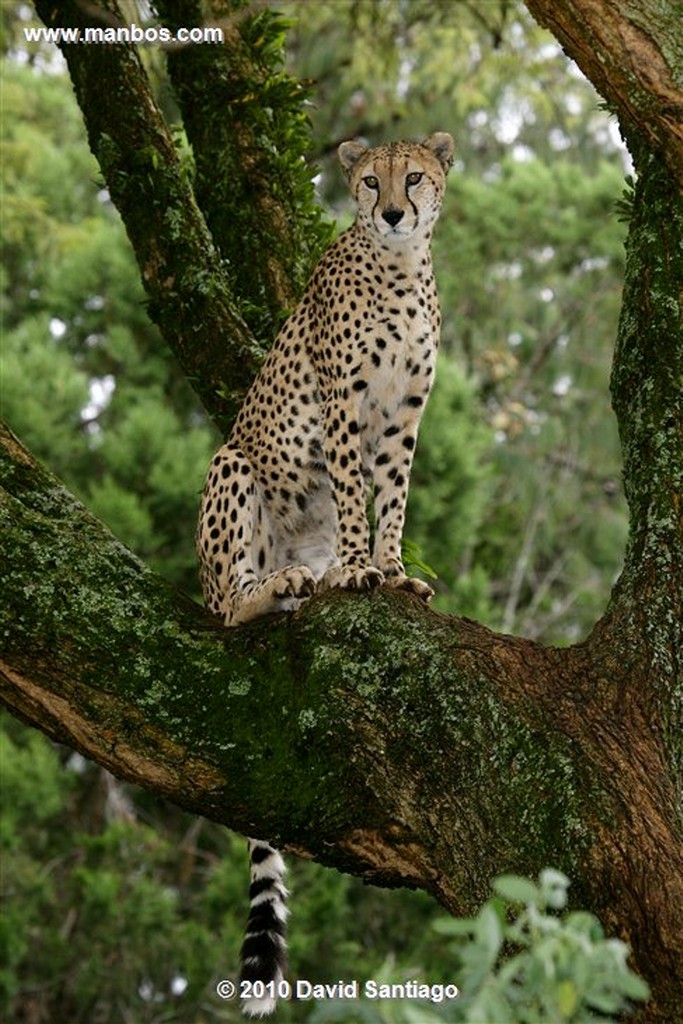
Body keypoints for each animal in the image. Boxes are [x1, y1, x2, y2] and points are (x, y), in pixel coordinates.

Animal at [197, 134, 454, 1015]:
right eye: (368, 180)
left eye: (415, 177)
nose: (394, 211)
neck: (399, 267)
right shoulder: (345, 404)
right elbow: (349, 492)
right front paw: (353, 569)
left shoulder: (402, 415)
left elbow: (392, 498)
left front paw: (394, 569)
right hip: (233, 463)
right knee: (226, 605)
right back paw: (279, 589)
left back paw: (303, 585)